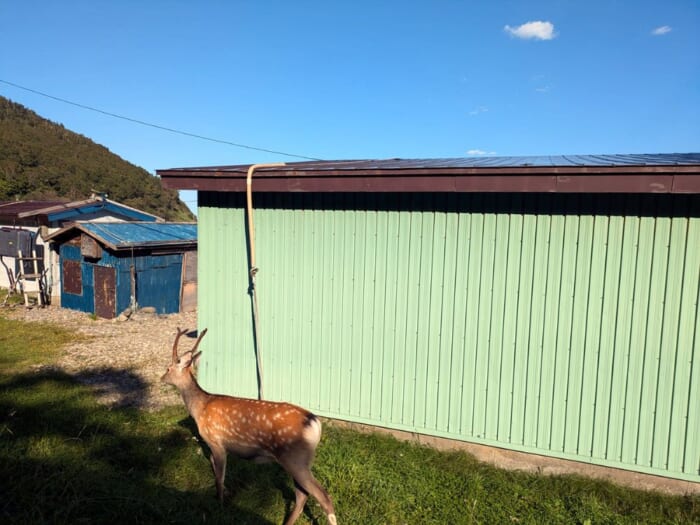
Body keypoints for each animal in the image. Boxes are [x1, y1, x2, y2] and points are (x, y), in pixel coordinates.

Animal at [164, 328, 340, 524]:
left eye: (168, 368)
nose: (162, 377)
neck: (200, 408)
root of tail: (315, 423)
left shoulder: (216, 441)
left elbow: (219, 477)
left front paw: (221, 504)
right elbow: (214, 466)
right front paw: (226, 494)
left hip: (296, 458)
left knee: (322, 496)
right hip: (301, 460)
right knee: (302, 495)